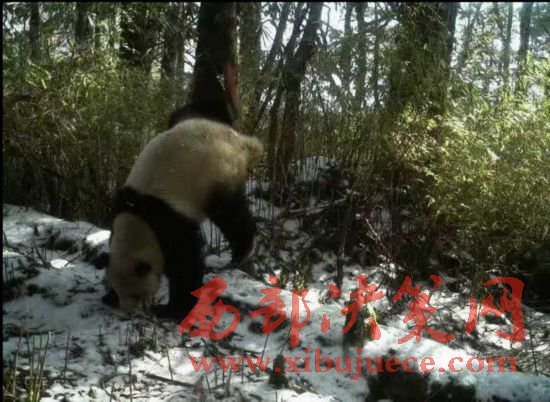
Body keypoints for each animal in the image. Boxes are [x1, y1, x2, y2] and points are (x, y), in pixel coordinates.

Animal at [101, 102, 263, 320]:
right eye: (120, 292)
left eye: (136, 294)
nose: (130, 312)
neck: (137, 220)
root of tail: (237, 138)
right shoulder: (123, 204)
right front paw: (108, 296)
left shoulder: (168, 219)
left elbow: (186, 260)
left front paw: (173, 309)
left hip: (219, 173)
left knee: (230, 214)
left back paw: (240, 253)